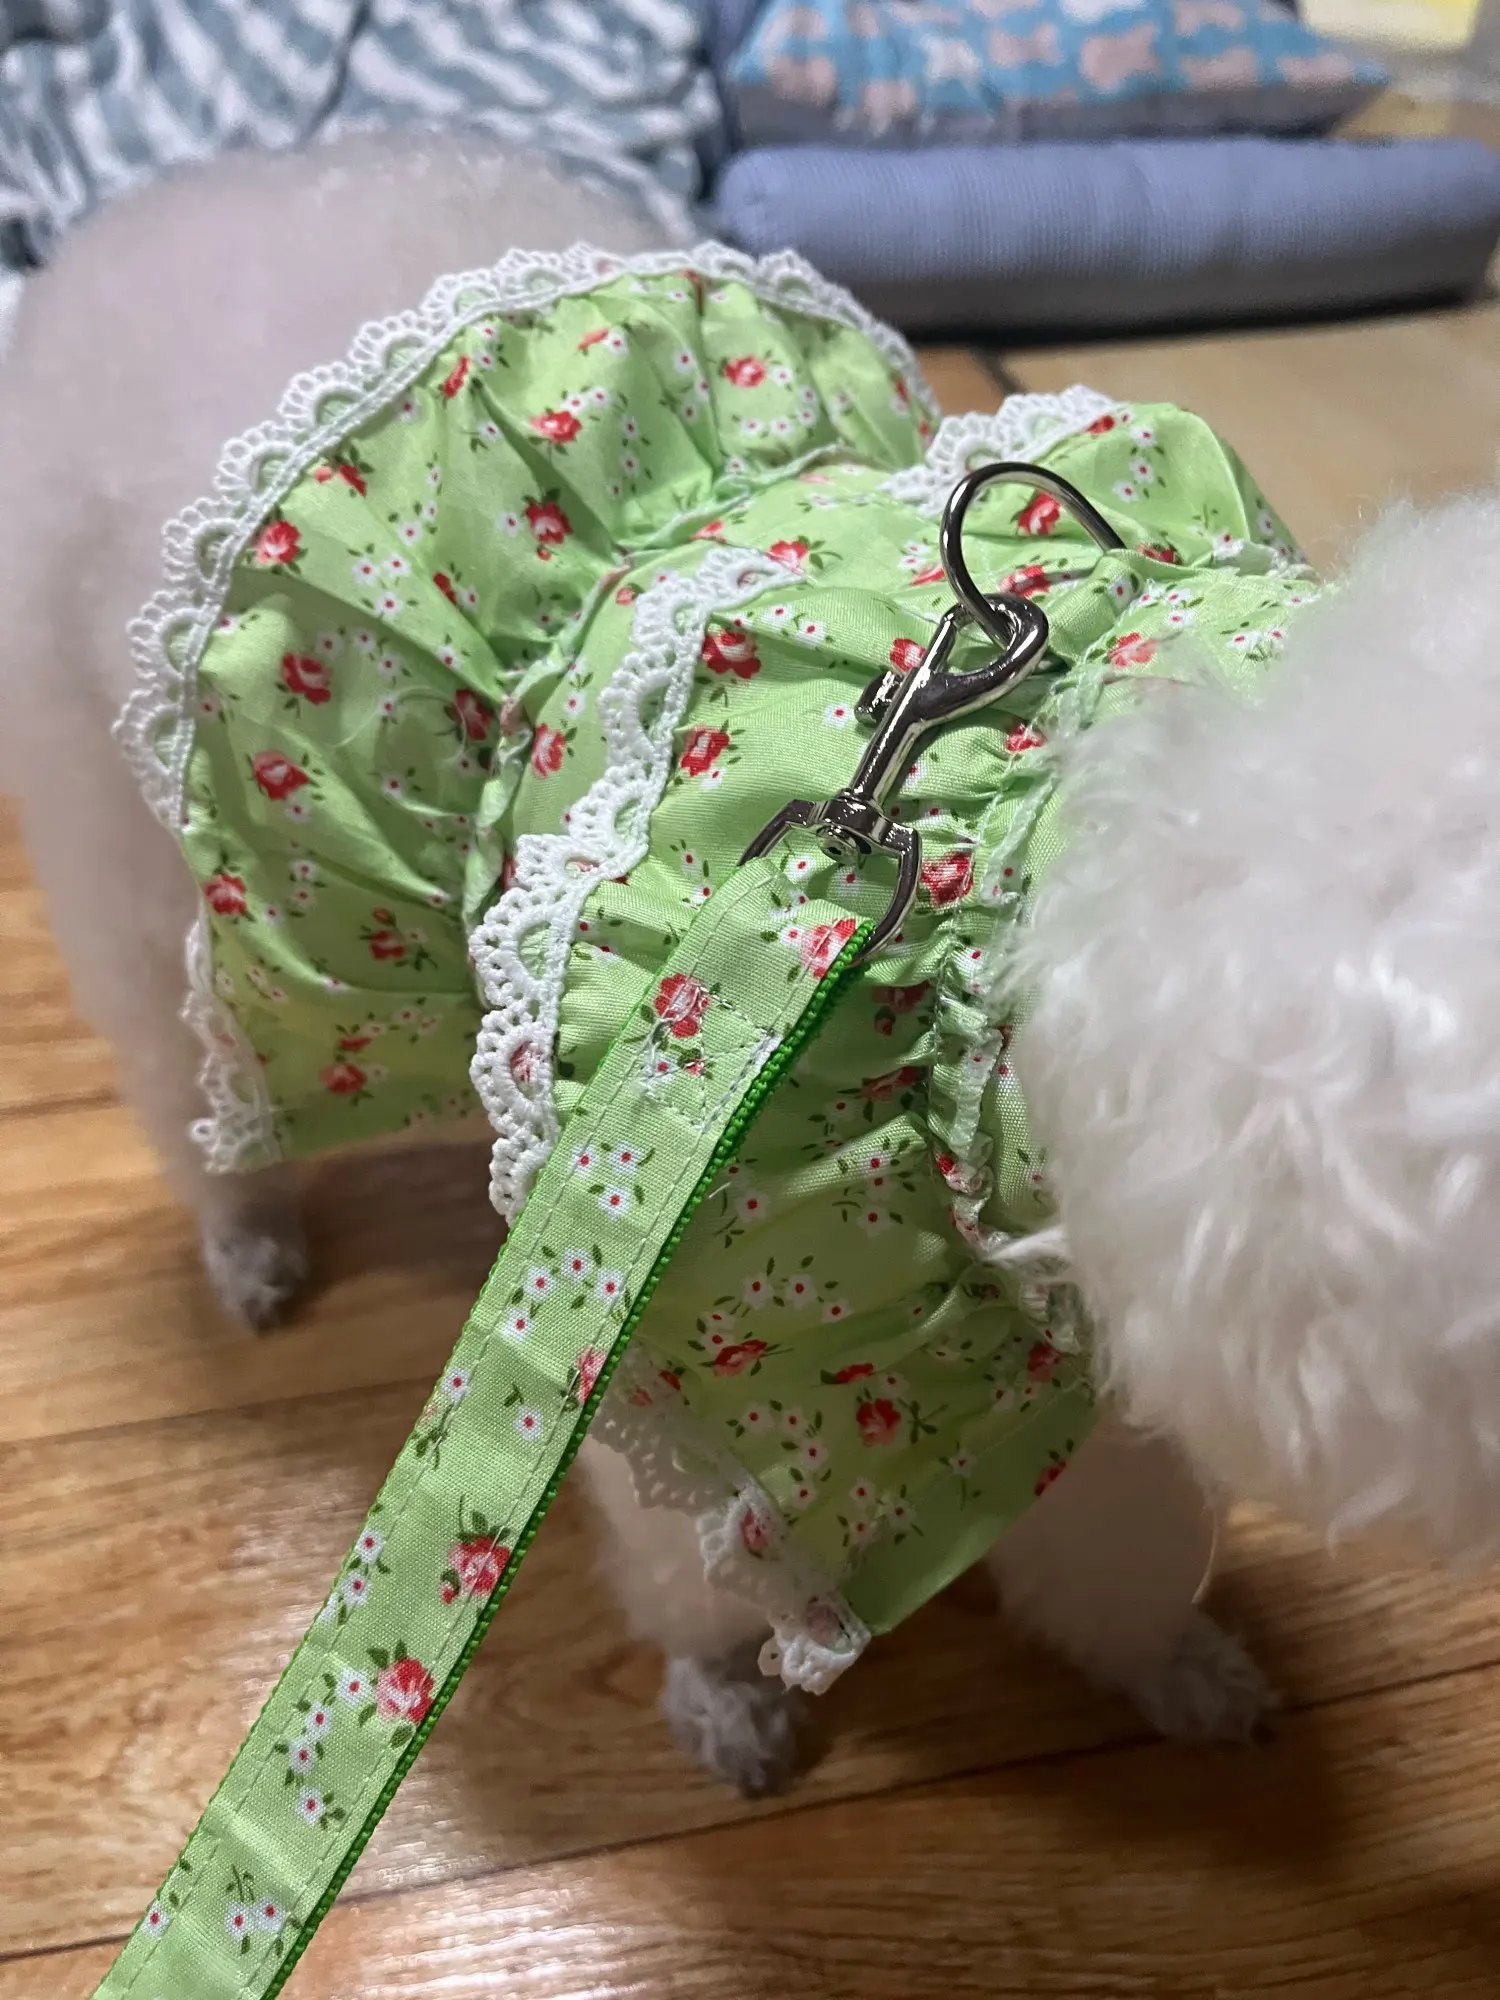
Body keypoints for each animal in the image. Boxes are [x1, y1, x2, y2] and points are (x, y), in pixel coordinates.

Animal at [4, 132, 1496, 1801]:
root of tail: (171, 201)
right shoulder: (697, 1318)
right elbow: (696, 1564)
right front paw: (723, 1700)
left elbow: (1118, 1539)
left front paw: (1177, 1669)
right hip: (127, 871)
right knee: (189, 1090)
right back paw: (251, 1247)